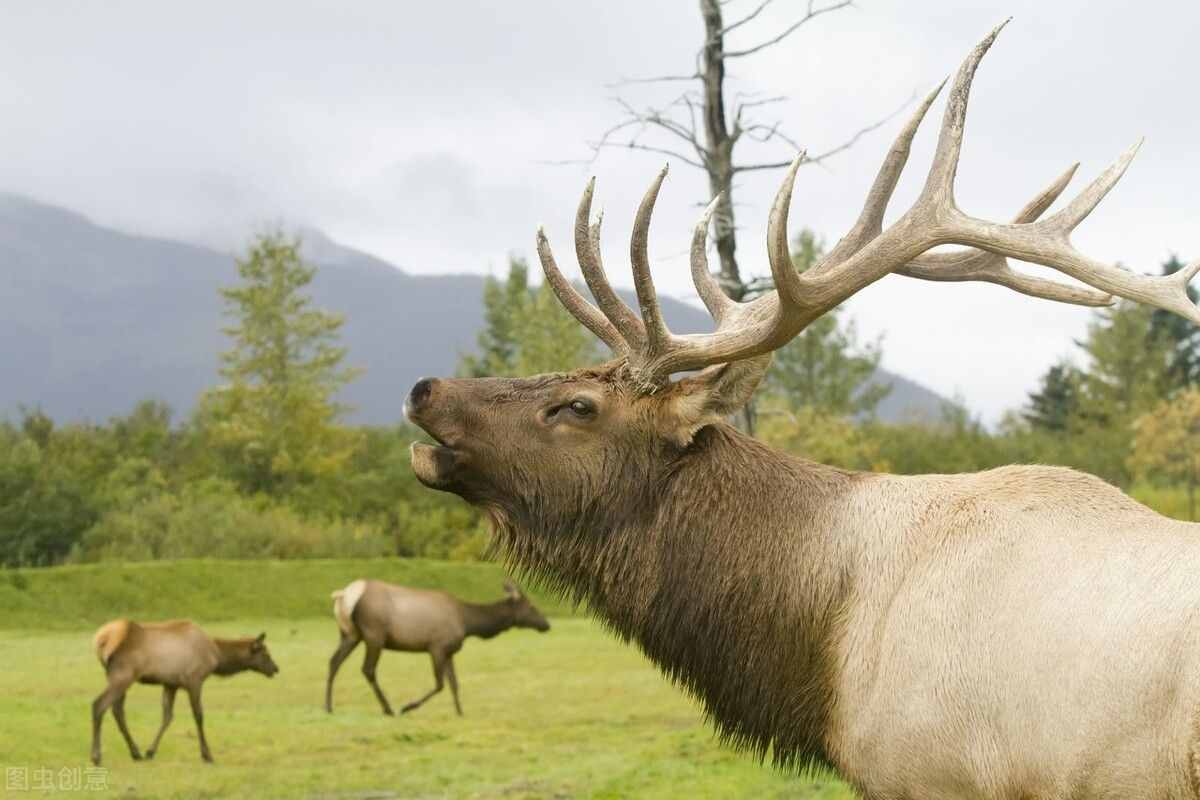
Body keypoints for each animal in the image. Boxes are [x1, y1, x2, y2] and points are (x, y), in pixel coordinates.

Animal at [89, 618, 278, 767]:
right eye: (266, 653)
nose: (276, 669)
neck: (217, 657)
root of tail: (101, 640)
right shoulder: (194, 680)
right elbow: (198, 715)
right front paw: (207, 755)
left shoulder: (170, 684)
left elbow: (167, 717)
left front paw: (150, 752)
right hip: (123, 676)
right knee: (99, 705)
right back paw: (96, 757)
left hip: (118, 677)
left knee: (117, 710)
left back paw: (135, 753)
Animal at [328, 578, 552, 714]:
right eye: (531, 606)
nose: (546, 624)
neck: (468, 623)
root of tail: (344, 595)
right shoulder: (436, 647)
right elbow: (440, 684)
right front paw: (407, 707)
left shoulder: (449, 651)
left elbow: (454, 684)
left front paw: (460, 713)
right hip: (374, 635)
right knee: (368, 669)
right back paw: (389, 708)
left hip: (350, 634)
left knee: (334, 662)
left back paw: (328, 706)